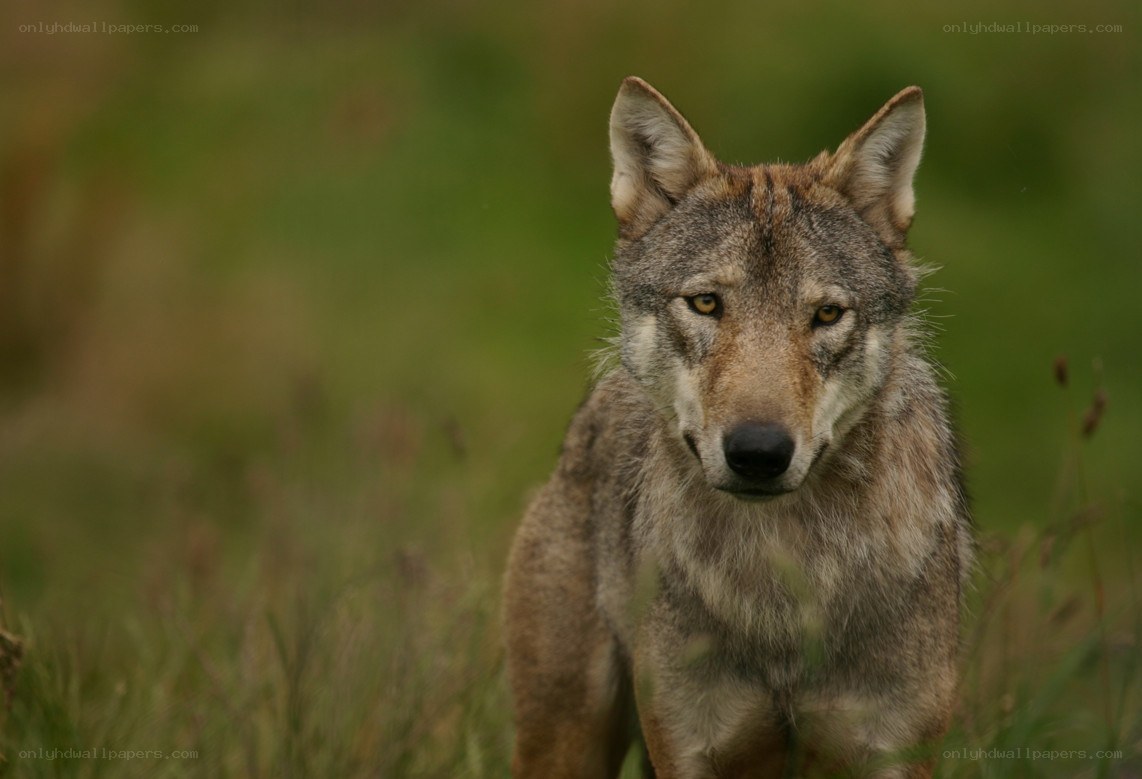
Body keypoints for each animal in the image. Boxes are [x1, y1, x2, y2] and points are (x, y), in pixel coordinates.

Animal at [503, 77, 972, 778]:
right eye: (705, 304)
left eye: (827, 315)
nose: (758, 452)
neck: (778, 583)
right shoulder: (688, 749)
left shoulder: (897, 753)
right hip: (566, 743)